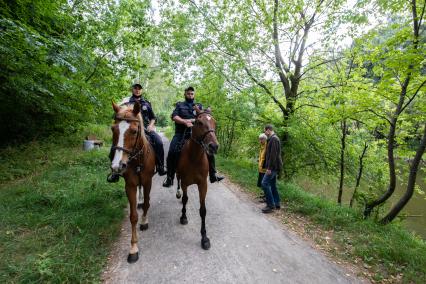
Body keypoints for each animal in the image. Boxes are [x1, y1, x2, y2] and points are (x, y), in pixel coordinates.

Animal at [110, 101, 156, 262]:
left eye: (135, 131)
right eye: (113, 129)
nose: (117, 165)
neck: (137, 161)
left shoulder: (148, 181)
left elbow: (147, 203)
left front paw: (144, 221)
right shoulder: (129, 186)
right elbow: (133, 216)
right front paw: (133, 248)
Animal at [175, 105, 218, 250]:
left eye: (214, 122)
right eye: (199, 122)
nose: (214, 146)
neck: (194, 157)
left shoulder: (203, 184)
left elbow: (203, 210)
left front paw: (204, 238)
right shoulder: (185, 182)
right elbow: (185, 199)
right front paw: (183, 217)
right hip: (179, 176)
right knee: (177, 182)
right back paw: (177, 192)